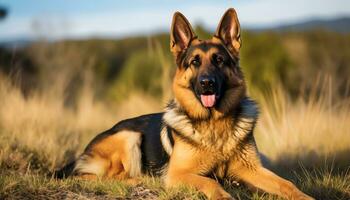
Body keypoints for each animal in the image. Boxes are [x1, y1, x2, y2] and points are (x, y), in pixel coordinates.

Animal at [57, 8, 314, 200]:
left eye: (219, 60)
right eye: (194, 62)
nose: (207, 83)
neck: (214, 124)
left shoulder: (252, 169)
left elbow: (287, 184)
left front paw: (305, 196)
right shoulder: (179, 174)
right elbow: (211, 183)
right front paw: (223, 194)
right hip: (128, 136)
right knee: (93, 177)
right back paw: (137, 179)